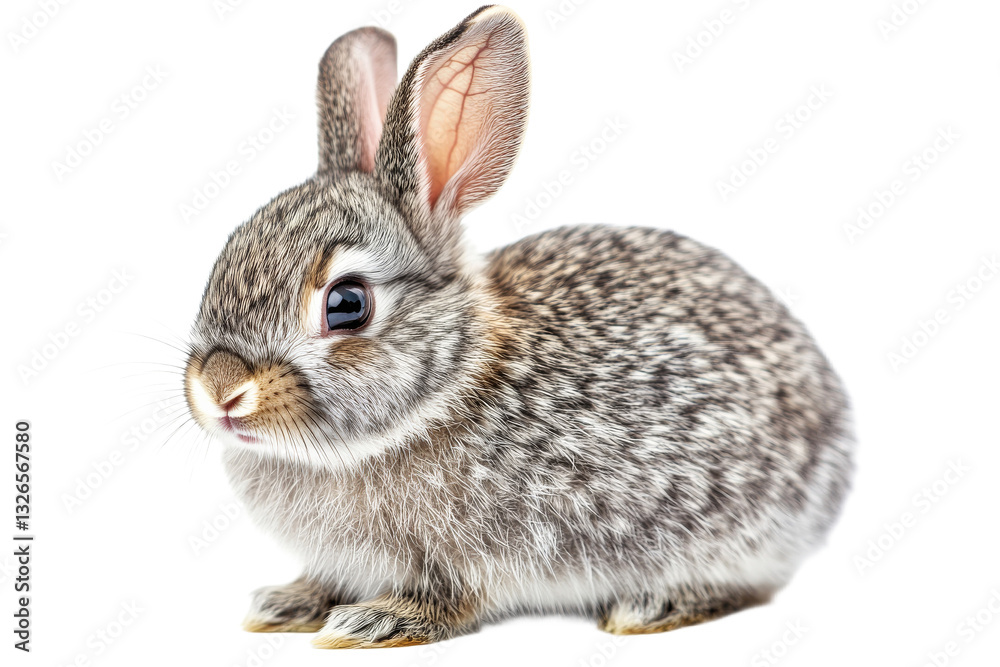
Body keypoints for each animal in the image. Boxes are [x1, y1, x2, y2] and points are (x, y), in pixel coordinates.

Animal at [183, 4, 854, 649]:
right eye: (222, 260)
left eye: (347, 304)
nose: (220, 390)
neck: (445, 389)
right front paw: (288, 603)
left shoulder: (477, 557)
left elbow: (449, 600)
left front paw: (374, 622)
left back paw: (649, 607)